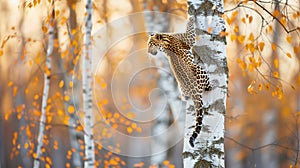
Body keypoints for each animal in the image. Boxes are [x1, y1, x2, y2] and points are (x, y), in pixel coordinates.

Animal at [148, 16, 211, 147]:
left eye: (150, 44)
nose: (149, 52)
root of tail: (193, 92)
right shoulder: (189, 38)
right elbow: (191, 30)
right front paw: (191, 18)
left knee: (185, 98)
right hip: (199, 68)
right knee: (208, 87)